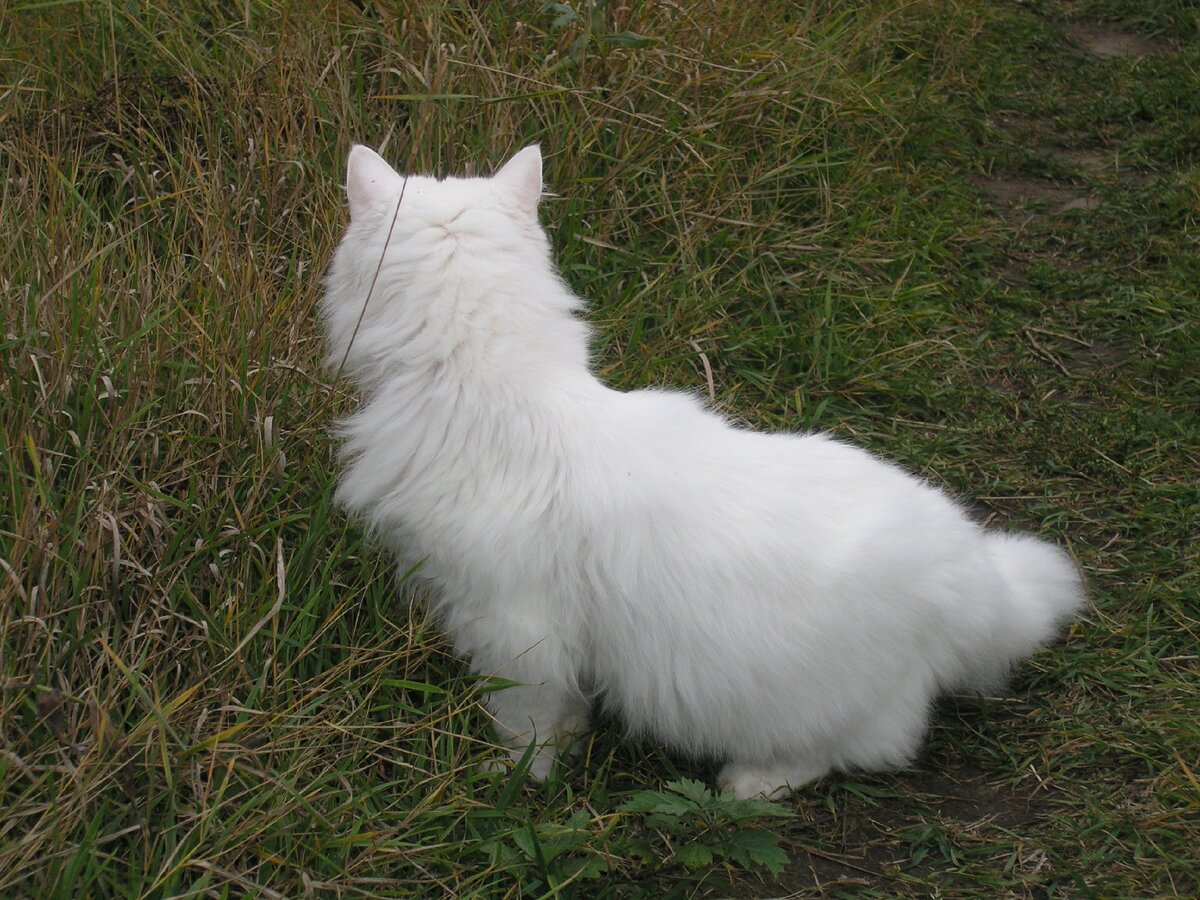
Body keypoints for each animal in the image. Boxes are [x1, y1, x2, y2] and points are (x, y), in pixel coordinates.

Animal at [321, 144, 1089, 801]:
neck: (488, 389)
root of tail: (978, 576)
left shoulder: (514, 625)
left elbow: (525, 722)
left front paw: (514, 781)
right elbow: (564, 715)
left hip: (809, 702)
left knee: (852, 750)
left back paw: (750, 784)